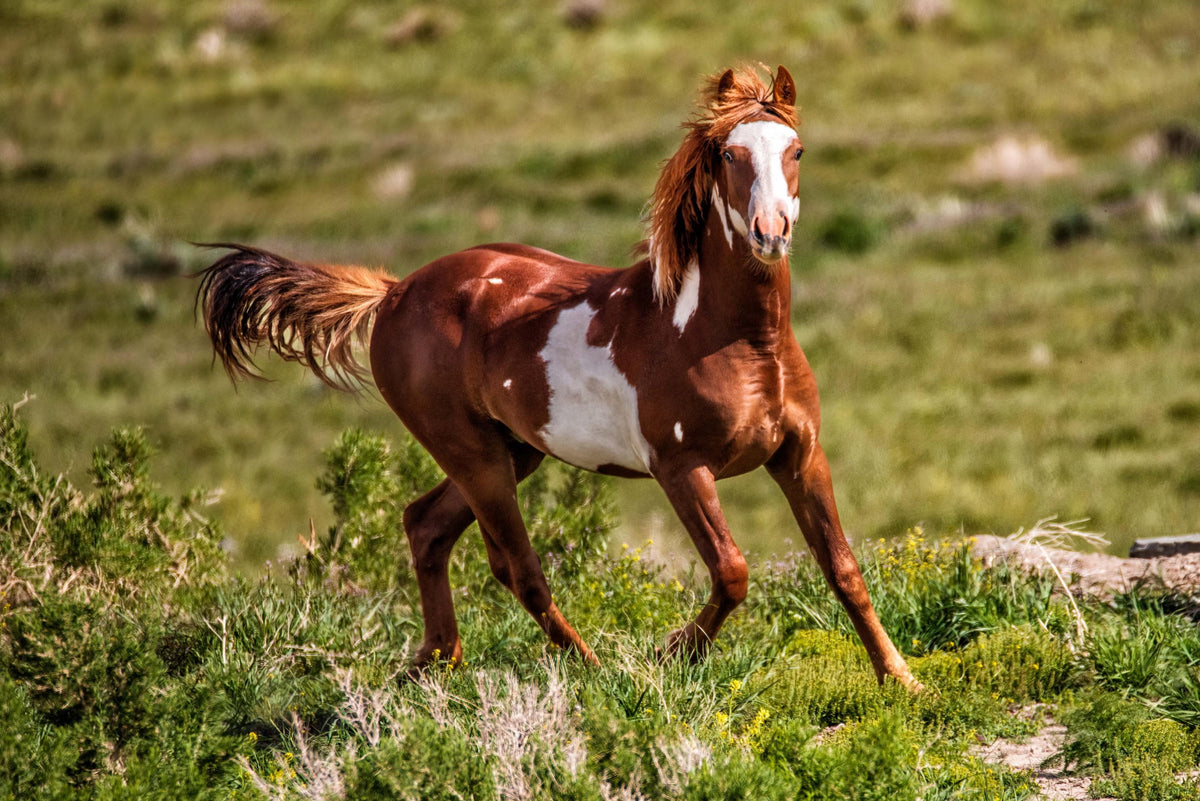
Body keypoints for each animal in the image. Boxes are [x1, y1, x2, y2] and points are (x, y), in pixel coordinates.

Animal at [196, 65, 919, 689]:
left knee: (426, 524)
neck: (736, 341)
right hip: (475, 455)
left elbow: (843, 569)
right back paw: (593, 668)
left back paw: (435, 662)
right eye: (728, 154)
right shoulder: (681, 467)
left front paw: (902, 680)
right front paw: (671, 653)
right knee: (518, 568)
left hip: (513, 450)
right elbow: (732, 572)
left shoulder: (799, 455)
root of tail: (395, 292)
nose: (772, 231)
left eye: (796, 150)